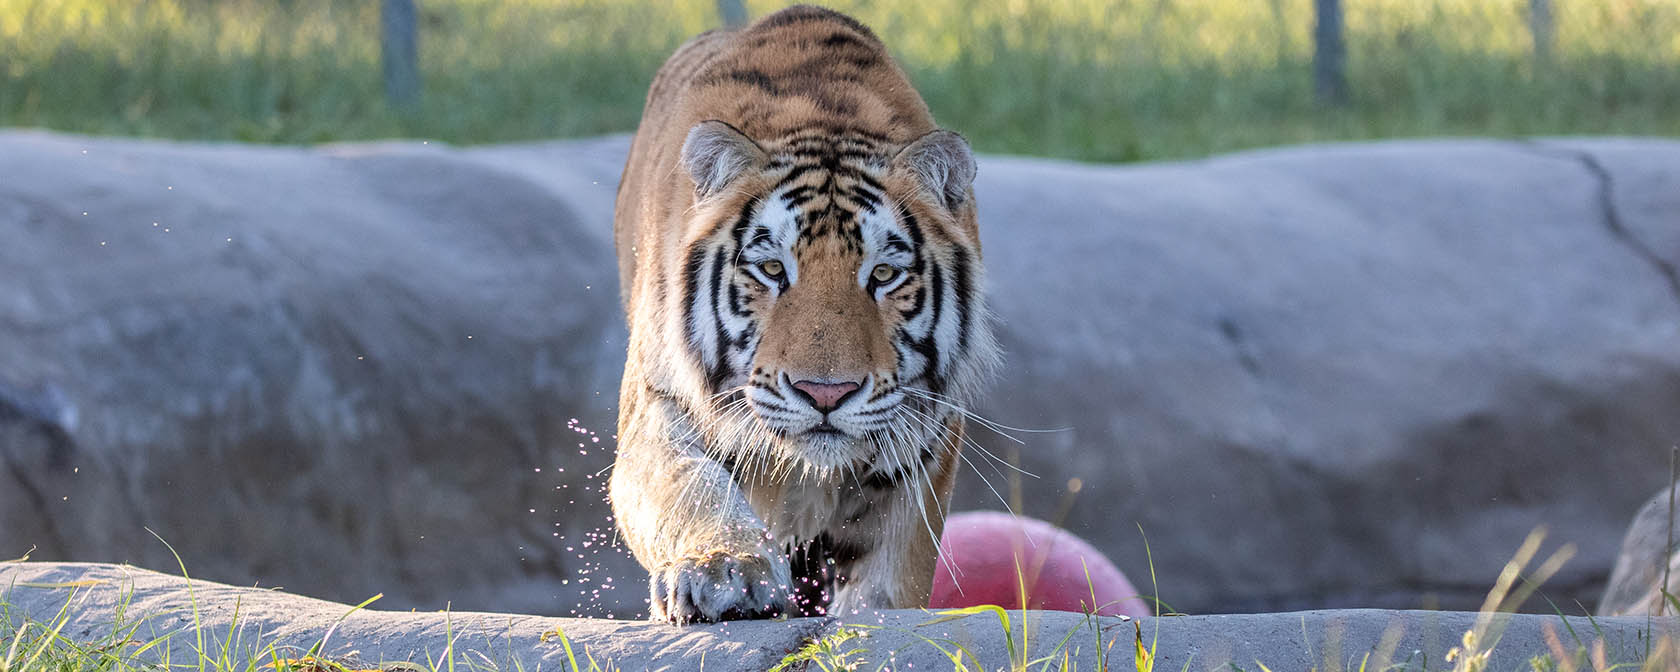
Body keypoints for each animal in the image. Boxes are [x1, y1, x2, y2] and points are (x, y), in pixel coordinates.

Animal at [608, 5, 987, 624]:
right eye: (771, 269)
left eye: (884, 275)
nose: (825, 394)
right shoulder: (657, 399)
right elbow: (689, 486)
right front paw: (722, 572)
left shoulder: (926, 435)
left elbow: (893, 567)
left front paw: (874, 617)